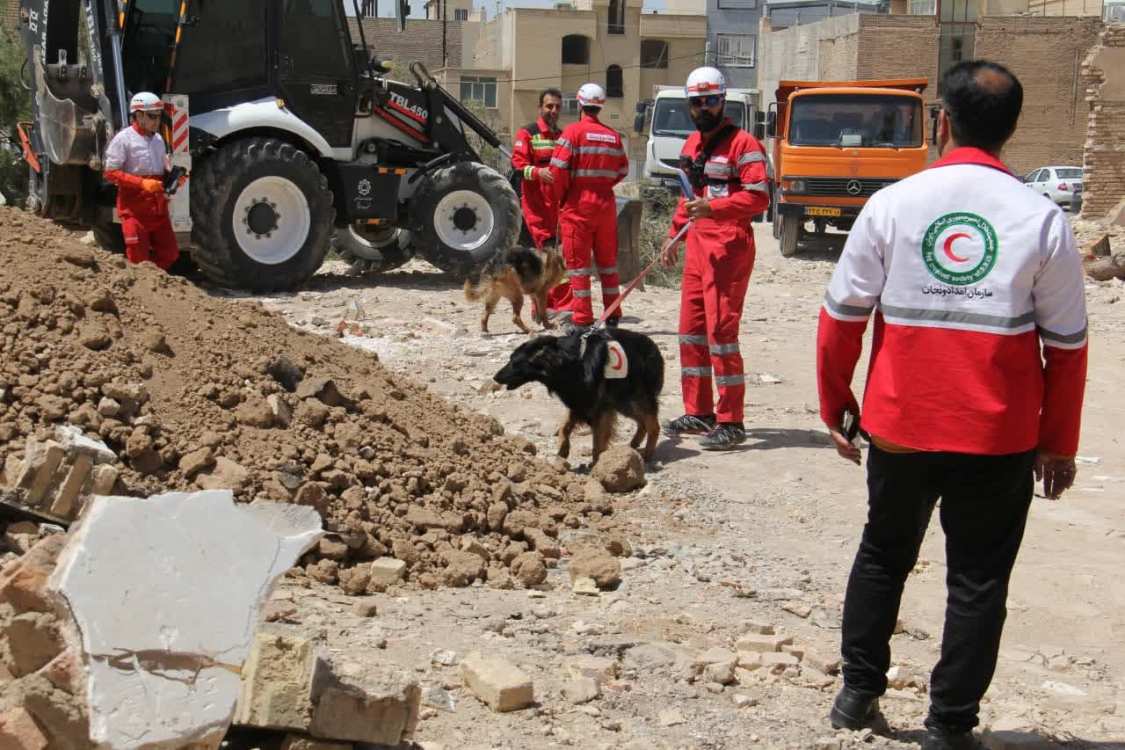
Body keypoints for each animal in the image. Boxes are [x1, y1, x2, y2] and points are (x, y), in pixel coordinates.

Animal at [490, 330, 661, 470]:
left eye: (514, 362)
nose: (495, 378)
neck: (574, 363)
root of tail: (652, 345)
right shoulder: (577, 402)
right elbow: (564, 428)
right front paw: (562, 452)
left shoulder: (600, 409)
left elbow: (597, 442)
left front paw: (596, 465)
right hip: (624, 402)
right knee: (642, 423)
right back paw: (633, 445)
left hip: (638, 399)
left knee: (653, 426)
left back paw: (647, 453)